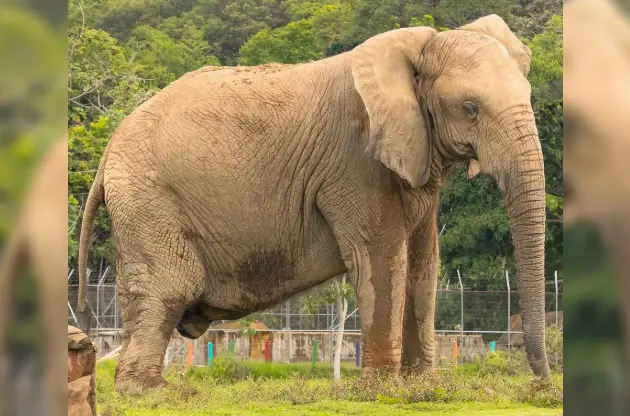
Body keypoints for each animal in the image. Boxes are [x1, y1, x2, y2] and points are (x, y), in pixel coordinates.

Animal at [76, 13, 552, 390]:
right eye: (470, 108)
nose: (542, 384)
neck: (414, 51)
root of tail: (108, 152)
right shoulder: (354, 162)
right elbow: (381, 258)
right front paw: (381, 391)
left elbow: (424, 263)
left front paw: (423, 387)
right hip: (149, 203)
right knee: (166, 292)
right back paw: (151, 392)